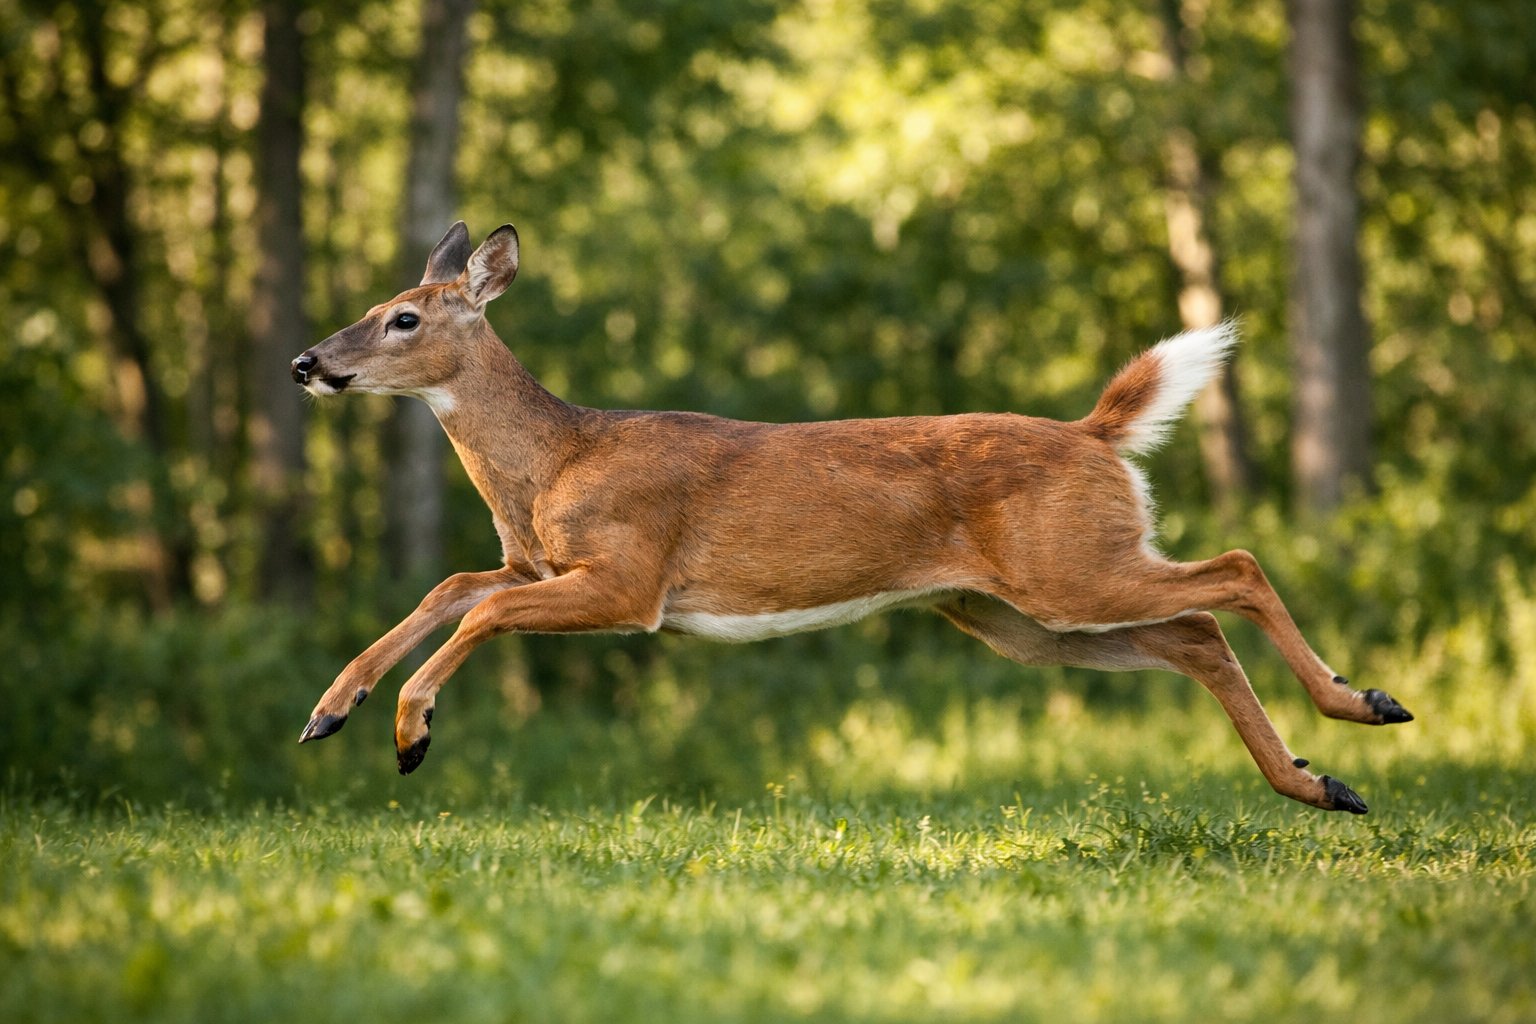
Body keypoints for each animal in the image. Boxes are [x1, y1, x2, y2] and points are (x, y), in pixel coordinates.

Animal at [291, 221, 1412, 813]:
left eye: (403, 317)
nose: (307, 362)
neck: (559, 460)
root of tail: (1096, 434)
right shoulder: (536, 564)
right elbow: (453, 586)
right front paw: (330, 711)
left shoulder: (631, 578)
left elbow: (477, 608)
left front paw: (411, 731)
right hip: (1023, 613)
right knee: (1195, 632)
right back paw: (1323, 782)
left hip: (1066, 570)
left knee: (1237, 567)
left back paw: (1362, 707)